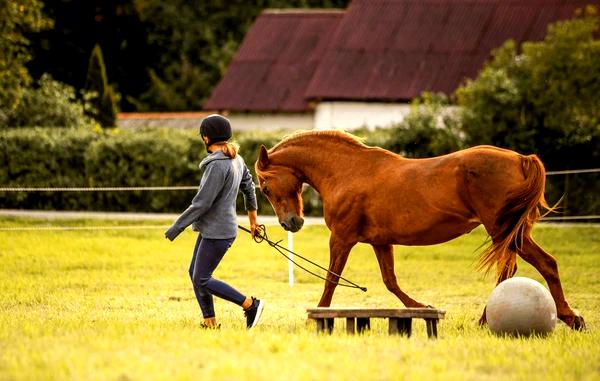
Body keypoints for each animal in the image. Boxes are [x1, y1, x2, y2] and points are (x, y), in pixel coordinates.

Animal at [255, 129, 584, 328]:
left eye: (266, 186)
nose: (291, 223)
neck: (345, 171)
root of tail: (521, 159)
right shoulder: (380, 242)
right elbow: (390, 281)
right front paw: (422, 306)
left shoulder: (342, 239)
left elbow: (331, 280)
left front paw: (316, 318)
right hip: (510, 234)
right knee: (518, 270)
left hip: (505, 232)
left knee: (543, 264)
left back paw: (566, 317)